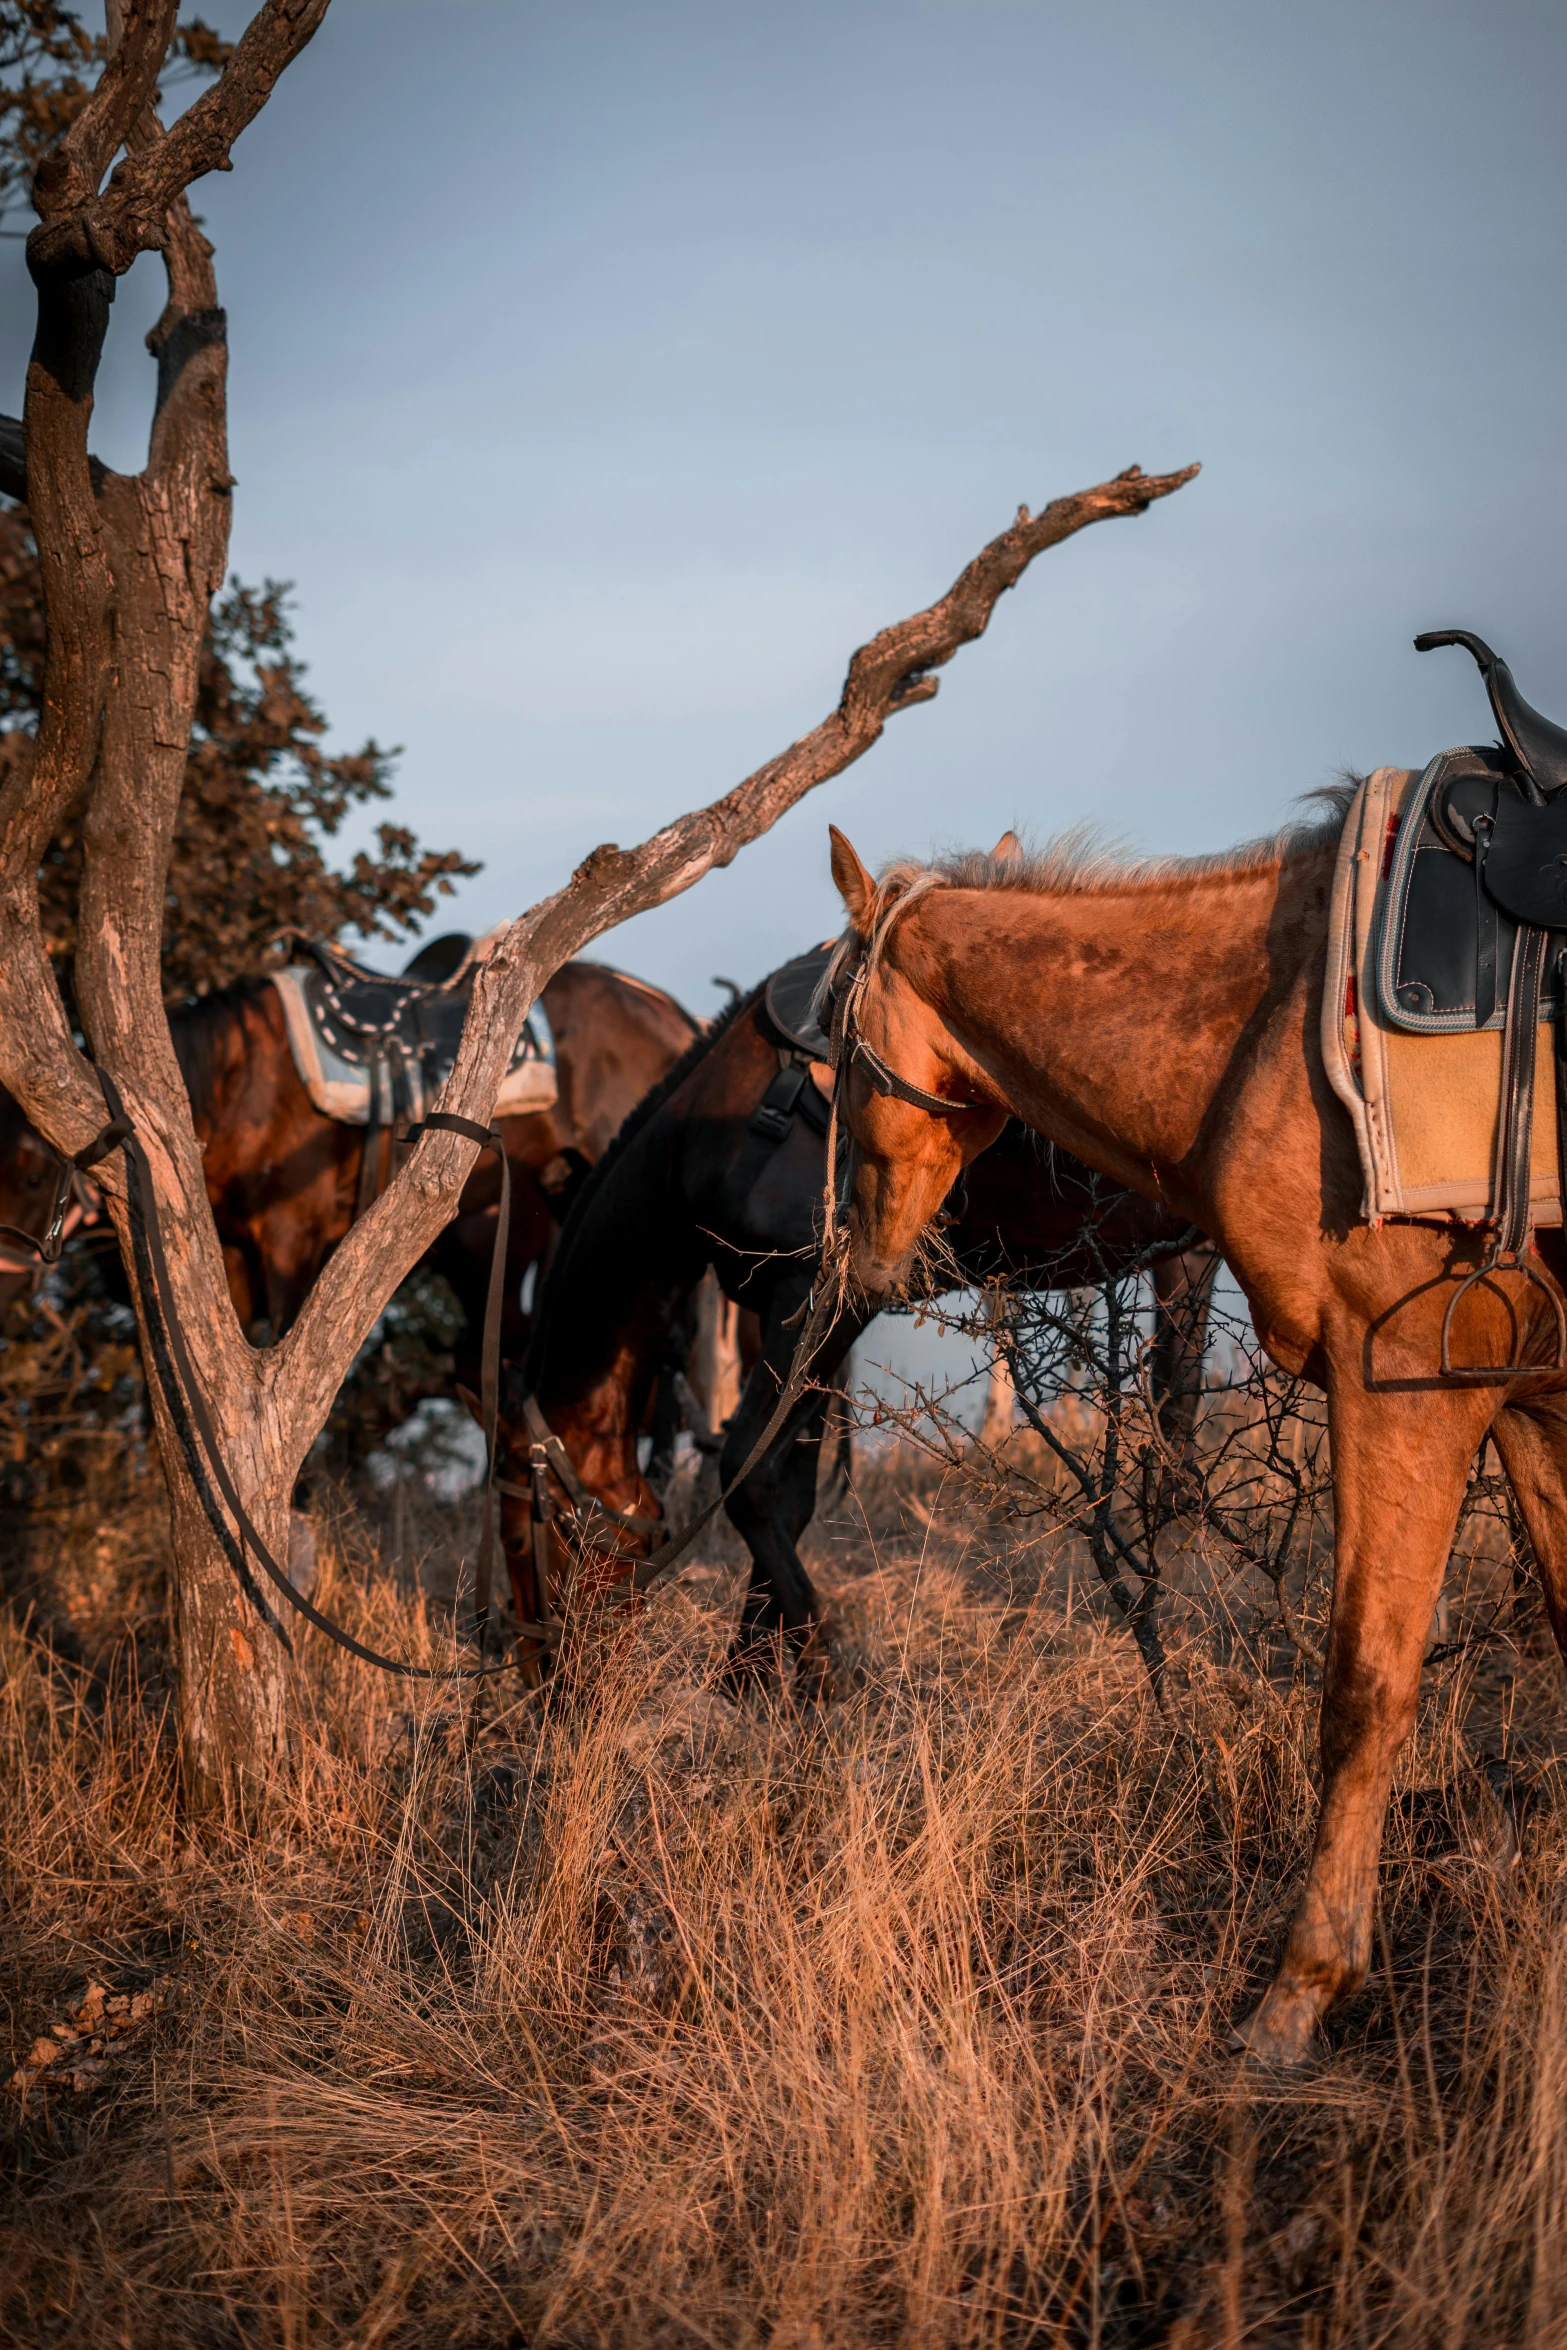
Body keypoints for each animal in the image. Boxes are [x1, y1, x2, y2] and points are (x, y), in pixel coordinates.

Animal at [509, 972, 1221, 1691]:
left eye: (517, 1533)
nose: (534, 1671)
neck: (717, 1138)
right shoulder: (797, 1317)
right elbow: (788, 1492)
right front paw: (757, 1674)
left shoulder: (823, 1298)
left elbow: (750, 1478)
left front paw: (811, 1666)